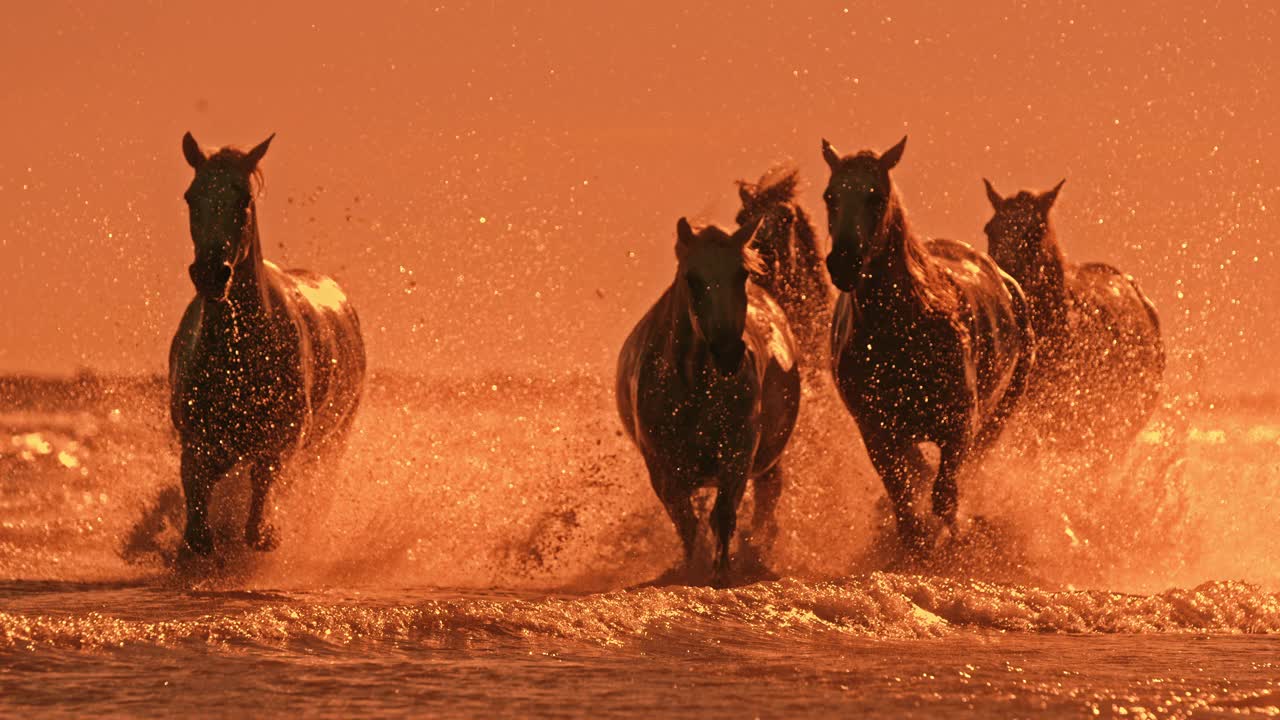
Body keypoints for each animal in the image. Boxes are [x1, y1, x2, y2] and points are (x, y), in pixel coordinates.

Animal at [170, 131, 366, 556]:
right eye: (191, 196)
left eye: (244, 198)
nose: (211, 273)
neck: (240, 358)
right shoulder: (198, 444)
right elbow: (198, 524)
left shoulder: (281, 445)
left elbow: (258, 515)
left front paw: (265, 534)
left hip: (331, 447)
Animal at [611, 215, 798, 579]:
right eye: (691, 278)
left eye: (742, 274)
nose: (727, 353)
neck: (695, 390)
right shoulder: (663, 470)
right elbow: (687, 524)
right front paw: (692, 568)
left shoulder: (737, 458)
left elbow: (723, 517)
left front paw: (721, 572)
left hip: (767, 467)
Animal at [819, 135, 1039, 556]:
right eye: (830, 195)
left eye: (875, 195)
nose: (843, 262)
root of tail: (1005, 280)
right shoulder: (877, 432)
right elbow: (907, 503)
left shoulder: (959, 426)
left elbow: (944, 497)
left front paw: (956, 540)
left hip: (1002, 409)